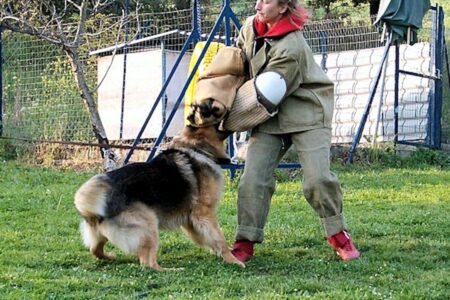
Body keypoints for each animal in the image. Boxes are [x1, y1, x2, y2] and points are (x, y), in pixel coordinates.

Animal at [74, 124, 244, 270]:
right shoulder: (204, 214)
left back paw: (109, 256)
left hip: (103, 235)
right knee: (147, 263)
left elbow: (208, 239)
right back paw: (172, 270)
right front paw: (233, 260)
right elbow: (219, 238)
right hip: (149, 224)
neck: (196, 148)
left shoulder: (191, 221)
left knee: (95, 250)